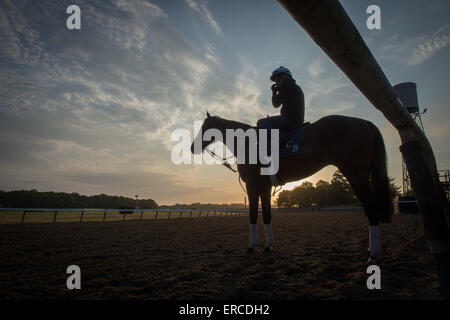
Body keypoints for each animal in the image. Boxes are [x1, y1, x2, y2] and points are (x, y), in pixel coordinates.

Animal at [192, 112, 392, 262]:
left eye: (205, 127)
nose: (192, 147)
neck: (248, 143)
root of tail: (362, 122)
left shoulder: (252, 186)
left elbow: (253, 215)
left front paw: (251, 247)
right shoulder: (264, 188)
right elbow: (266, 215)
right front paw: (268, 246)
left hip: (356, 176)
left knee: (371, 210)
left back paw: (373, 254)